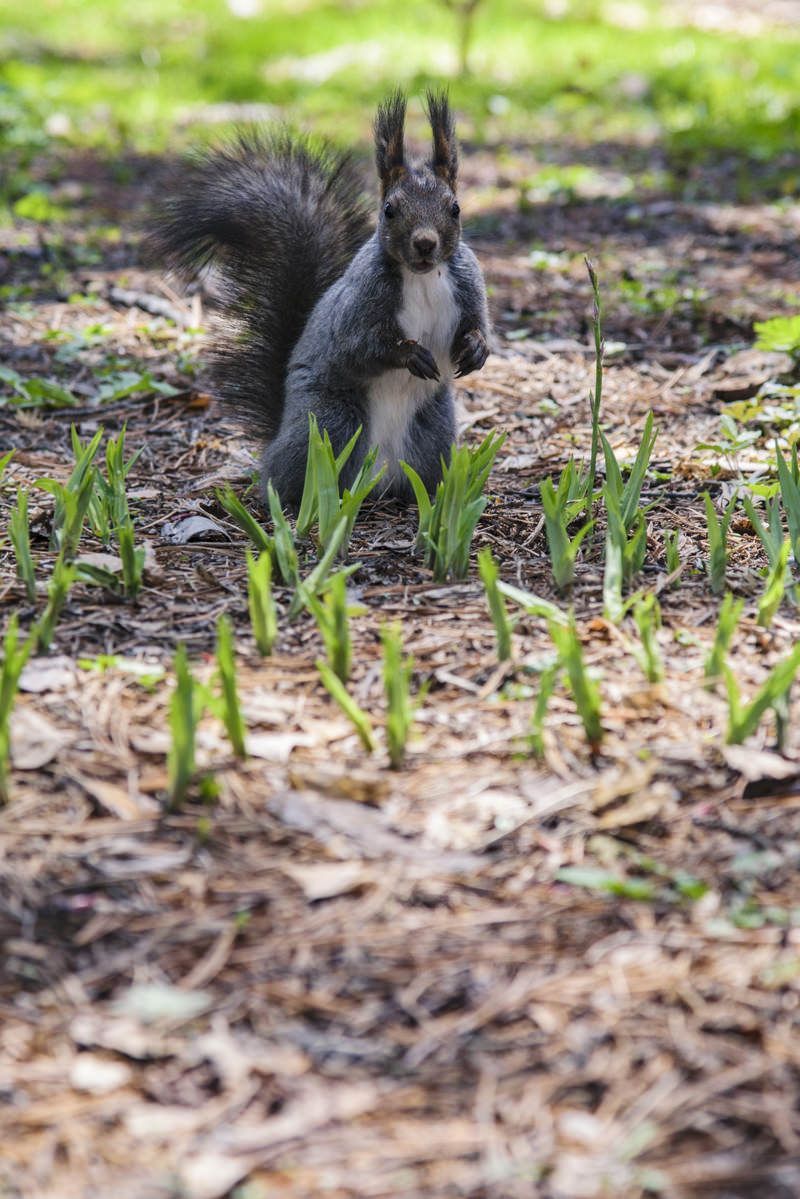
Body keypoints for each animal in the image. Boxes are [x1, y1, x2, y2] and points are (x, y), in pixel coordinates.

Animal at [146, 89, 491, 505]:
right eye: (389, 210)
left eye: (455, 208)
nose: (425, 243)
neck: (422, 278)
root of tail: (379, 479)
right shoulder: (360, 302)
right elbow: (359, 346)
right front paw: (409, 354)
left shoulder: (468, 283)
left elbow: (477, 323)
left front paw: (476, 348)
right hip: (331, 420)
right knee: (289, 473)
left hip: (433, 430)